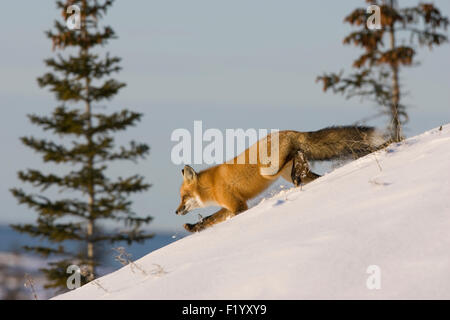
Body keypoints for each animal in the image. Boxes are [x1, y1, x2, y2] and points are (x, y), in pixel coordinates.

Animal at [176, 125, 384, 232]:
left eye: (183, 196)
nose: (176, 211)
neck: (211, 185)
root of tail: (290, 131)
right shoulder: (229, 206)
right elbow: (209, 220)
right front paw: (193, 227)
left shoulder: (239, 206)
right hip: (287, 172)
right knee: (309, 172)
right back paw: (301, 175)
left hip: (269, 169)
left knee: (297, 153)